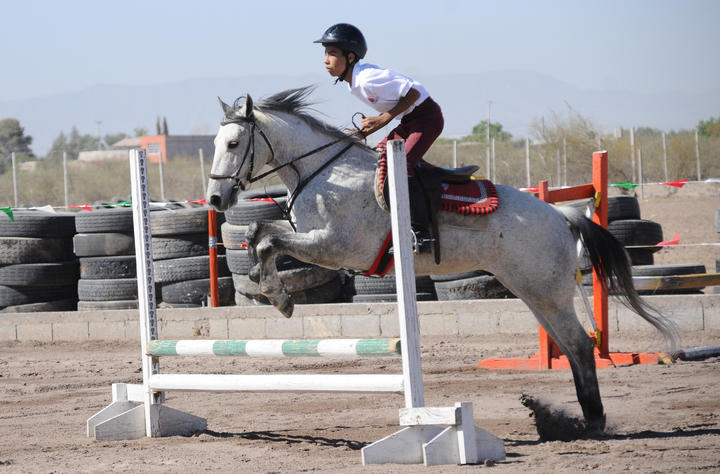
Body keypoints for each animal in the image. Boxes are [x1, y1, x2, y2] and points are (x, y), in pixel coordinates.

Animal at [205, 86, 676, 436]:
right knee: (571, 345)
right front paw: (262, 282)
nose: (214, 199)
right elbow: (258, 234)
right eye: (215, 144)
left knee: (578, 345)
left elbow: (269, 241)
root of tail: (562, 215)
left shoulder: (334, 246)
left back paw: (592, 423)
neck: (325, 173)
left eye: (233, 143)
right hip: (534, 291)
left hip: (546, 290)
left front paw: (278, 297)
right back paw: (571, 421)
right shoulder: (315, 241)